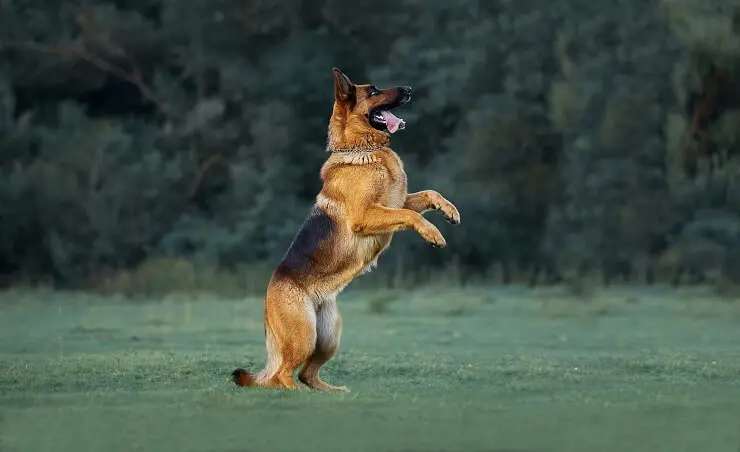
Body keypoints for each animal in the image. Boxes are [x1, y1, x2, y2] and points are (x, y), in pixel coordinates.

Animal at [233, 68, 462, 392]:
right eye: (374, 90)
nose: (409, 89)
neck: (364, 148)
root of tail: (268, 296)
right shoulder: (367, 215)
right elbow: (408, 215)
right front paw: (433, 234)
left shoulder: (396, 200)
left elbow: (429, 194)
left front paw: (449, 210)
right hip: (304, 335)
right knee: (282, 375)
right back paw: (296, 394)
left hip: (328, 336)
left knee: (306, 373)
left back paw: (330, 393)